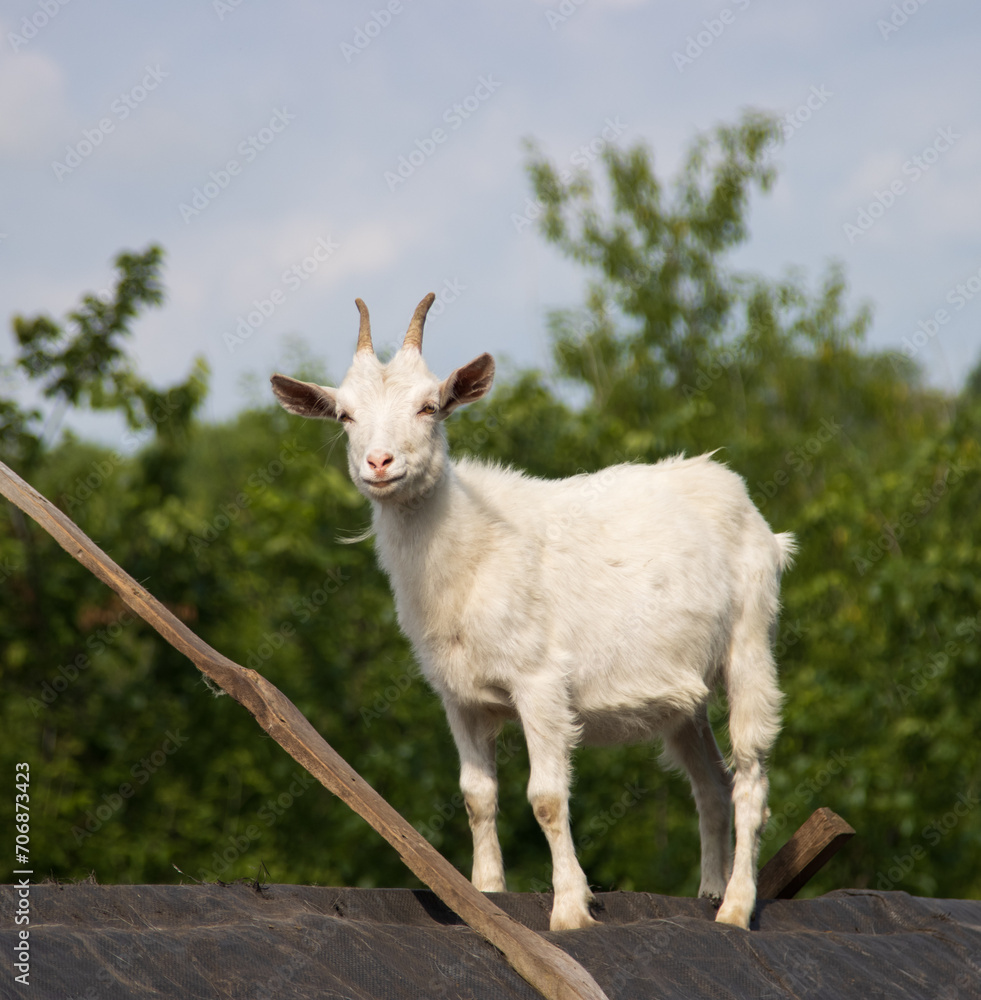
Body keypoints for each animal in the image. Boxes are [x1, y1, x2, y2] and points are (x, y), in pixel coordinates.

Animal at [270, 293, 795, 931]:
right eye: (344, 415)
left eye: (430, 406)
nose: (379, 462)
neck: (469, 553)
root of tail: (739, 496)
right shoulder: (459, 696)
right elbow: (478, 795)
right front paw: (487, 895)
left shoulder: (540, 681)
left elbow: (545, 797)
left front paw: (570, 909)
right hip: (685, 693)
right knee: (711, 783)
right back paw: (709, 891)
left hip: (750, 642)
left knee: (750, 777)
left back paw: (736, 907)